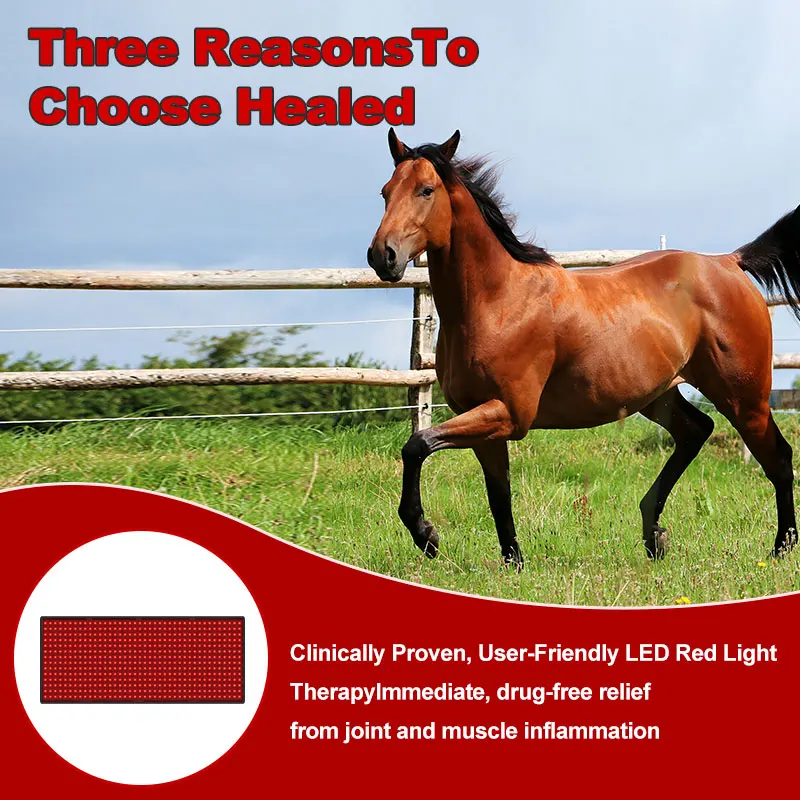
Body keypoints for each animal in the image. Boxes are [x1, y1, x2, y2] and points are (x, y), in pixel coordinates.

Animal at [367, 128, 800, 568]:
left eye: (426, 189)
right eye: (385, 191)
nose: (383, 256)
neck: (497, 302)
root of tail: (730, 262)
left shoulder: (509, 414)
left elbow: (417, 445)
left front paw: (426, 536)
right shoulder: (485, 423)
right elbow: (498, 495)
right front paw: (512, 563)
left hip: (744, 397)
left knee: (779, 458)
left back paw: (781, 547)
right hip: (657, 395)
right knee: (697, 430)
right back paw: (655, 535)